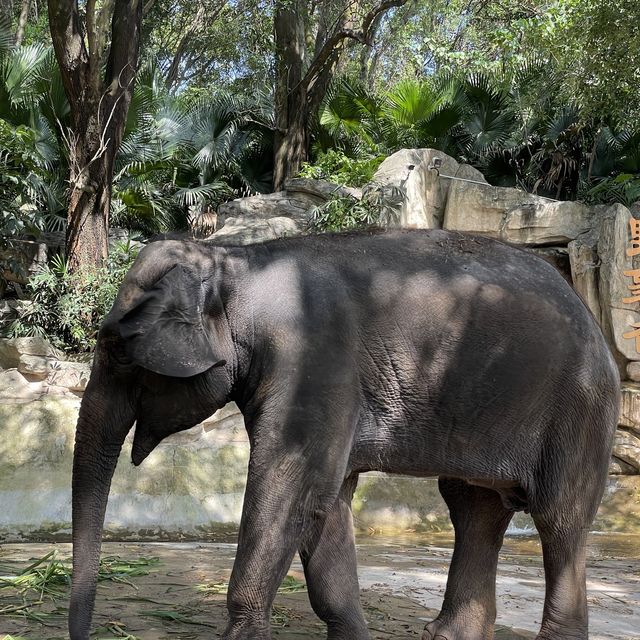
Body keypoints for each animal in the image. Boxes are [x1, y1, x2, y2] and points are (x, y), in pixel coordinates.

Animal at [69, 230, 620, 640]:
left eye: (118, 352)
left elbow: (290, 487)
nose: (85, 632)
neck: (233, 261)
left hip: (580, 407)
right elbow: (326, 500)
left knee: (559, 519)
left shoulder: (313, 362)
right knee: (473, 509)